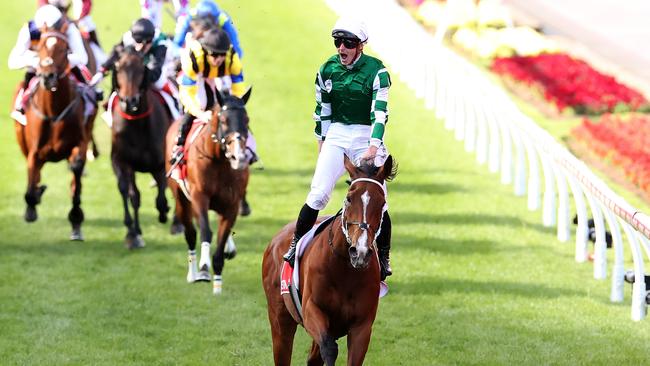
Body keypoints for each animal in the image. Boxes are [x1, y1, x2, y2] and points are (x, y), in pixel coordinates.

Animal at [13, 28, 95, 240]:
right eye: (40, 47)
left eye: (63, 49)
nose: (48, 76)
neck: (54, 110)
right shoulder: (34, 152)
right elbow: (31, 185)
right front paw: (33, 203)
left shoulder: (79, 143)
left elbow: (76, 172)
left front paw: (76, 218)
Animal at [111, 46, 172, 249]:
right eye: (118, 68)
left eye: (141, 69)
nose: (130, 101)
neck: (137, 125)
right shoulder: (122, 161)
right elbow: (131, 194)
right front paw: (133, 233)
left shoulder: (160, 165)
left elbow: (161, 197)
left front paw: (165, 212)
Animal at [165, 88, 251, 294]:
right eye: (224, 120)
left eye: (247, 120)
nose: (239, 156)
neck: (219, 160)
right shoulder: (199, 197)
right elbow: (205, 231)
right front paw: (204, 268)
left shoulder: (231, 206)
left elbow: (221, 240)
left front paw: (217, 284)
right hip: (182, 200)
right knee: (190, 233)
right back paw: (193, 273)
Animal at [262, 155, 394, 366]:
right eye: (349, 199)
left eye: (382, 203)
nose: (360, 252)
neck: (344, 269)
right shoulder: (312, 311)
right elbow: (330, 348)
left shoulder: (362, 327)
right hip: (279, 318)